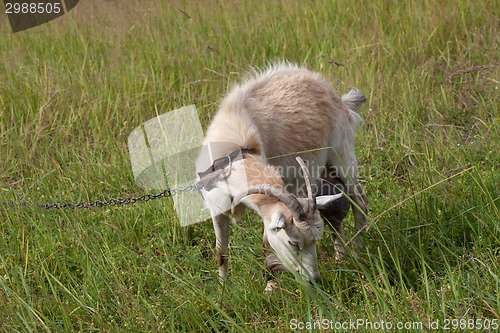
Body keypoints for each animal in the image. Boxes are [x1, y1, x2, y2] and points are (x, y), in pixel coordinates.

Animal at [196, 63, 368, 284]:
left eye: (314, 241)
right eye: (293, 242)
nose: (314, 279)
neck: (235, 154)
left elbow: (266, 245)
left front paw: (270, 284)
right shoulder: (216, 206)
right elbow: (221, 253)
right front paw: (222, 288)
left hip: (343, 157)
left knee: (360, 202)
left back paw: (356, 253)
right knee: (334, 211)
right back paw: (341, 257)